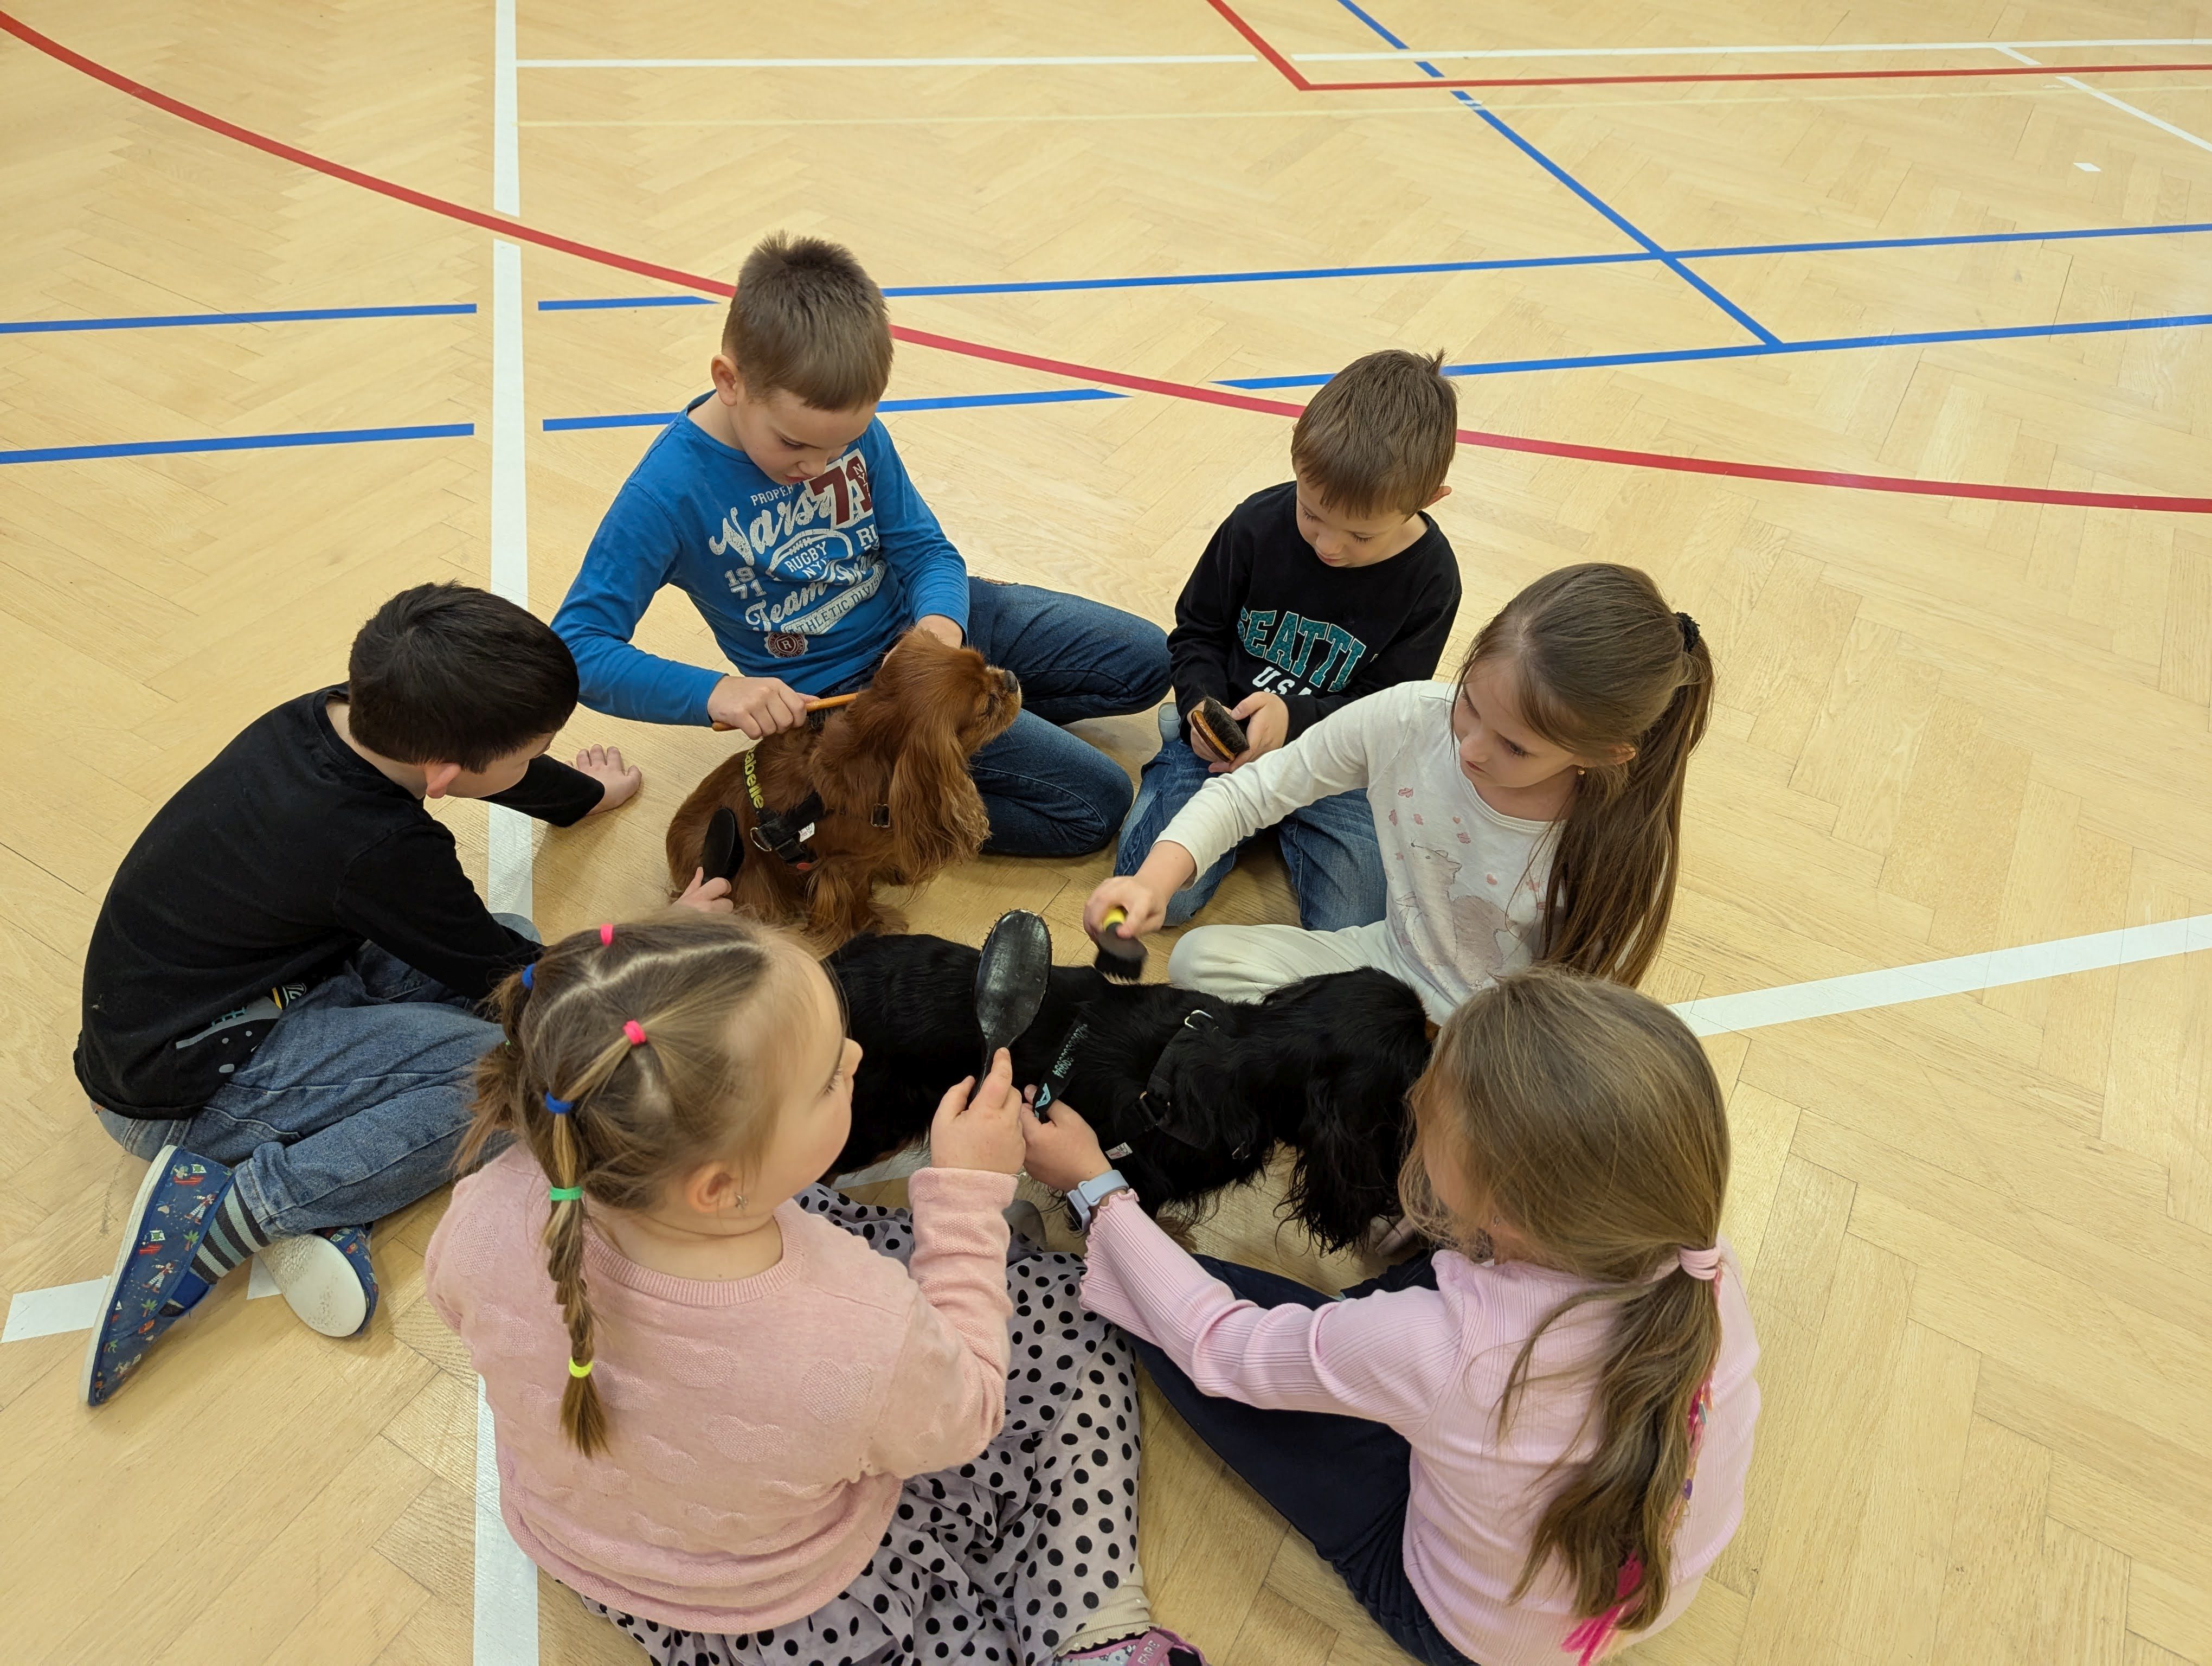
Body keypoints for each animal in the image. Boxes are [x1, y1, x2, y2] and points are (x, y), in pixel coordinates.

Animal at [666, 630, 1022, 947]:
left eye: (984, 663)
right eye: (987, 706)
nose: (1011, 679)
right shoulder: (842, 869)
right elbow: (857, 900)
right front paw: (877, 922)